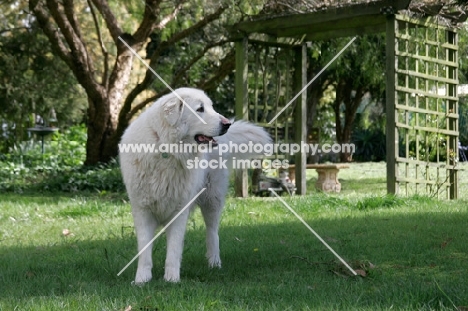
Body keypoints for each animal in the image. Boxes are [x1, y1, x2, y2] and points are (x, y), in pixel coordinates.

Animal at [119, 88, 270, 286]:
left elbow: (174, 249)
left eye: (211, 107)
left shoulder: (179, 210)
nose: (227, 124)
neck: (166, 148)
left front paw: (171, 280)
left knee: (212, 232)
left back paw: (214, 263)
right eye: (200, 109)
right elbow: (144, 250)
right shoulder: (142, 210)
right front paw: (141, 280)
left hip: (212, 200)